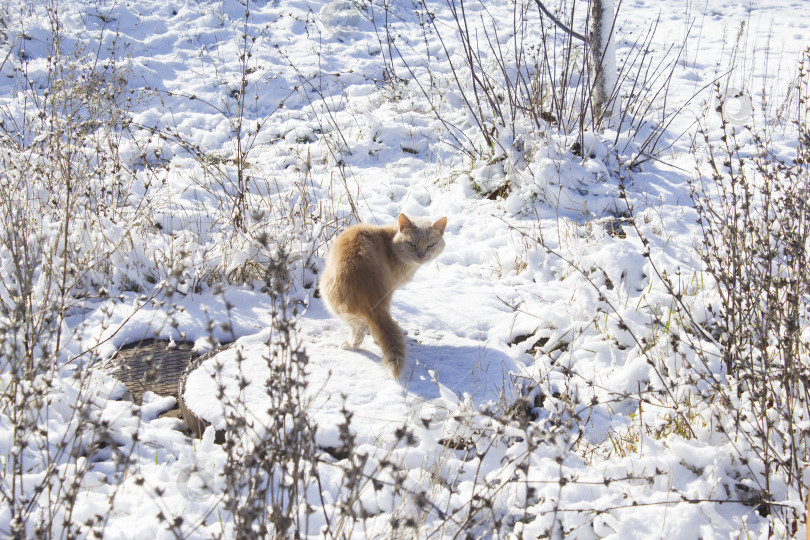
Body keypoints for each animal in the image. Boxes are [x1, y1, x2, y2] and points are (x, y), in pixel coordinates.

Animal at [318, 213, 448, 378]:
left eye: (430, 244)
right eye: (411, 244)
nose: (421, 256)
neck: (390, 245)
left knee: (360, 328)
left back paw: (351, 344)